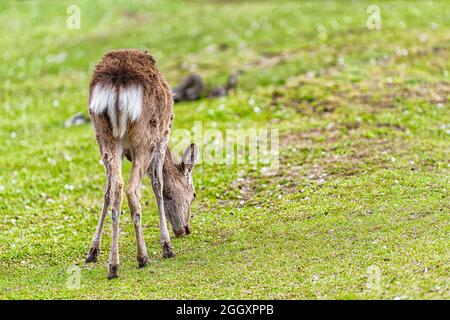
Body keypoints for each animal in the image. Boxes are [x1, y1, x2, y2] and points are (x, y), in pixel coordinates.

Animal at [84, 48, 197, 278]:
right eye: (193, 195)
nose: (185, 229)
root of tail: (118, 83)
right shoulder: (163, 137)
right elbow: (158, 185)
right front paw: (166, 245)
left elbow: (106, 192)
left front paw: (92, 251)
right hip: (146, 137)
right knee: (131, 189)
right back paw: (142, 257)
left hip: (104, 137)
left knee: (116, 187)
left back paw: (113, 264)